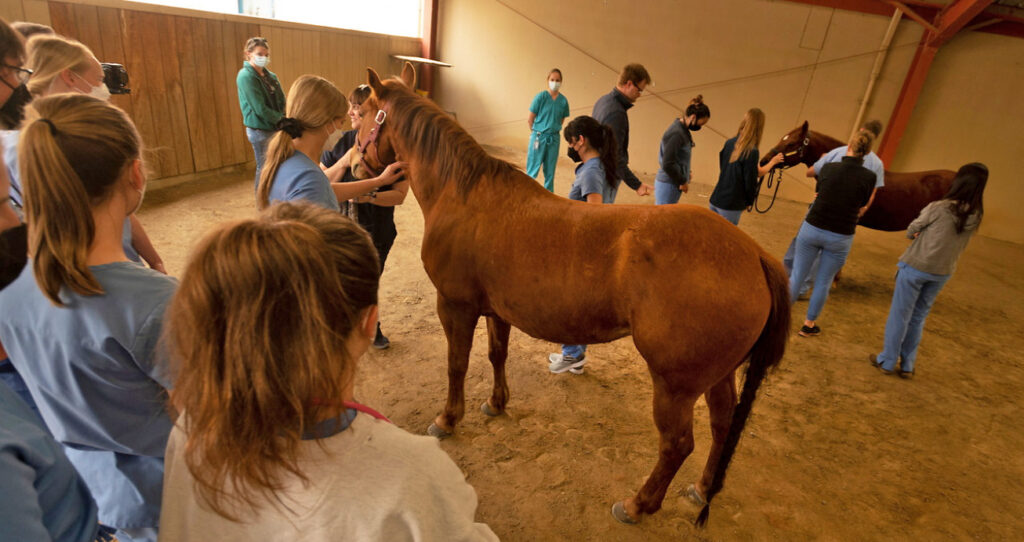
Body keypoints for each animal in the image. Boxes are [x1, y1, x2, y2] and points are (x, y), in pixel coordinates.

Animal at [360, 67, 790, 524]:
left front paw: (447, 419)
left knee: (677, 444)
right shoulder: (497, 311)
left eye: (362, 114)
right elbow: (497, 355)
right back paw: (703, 487)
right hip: (718, 376)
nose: (357, 164)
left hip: (675, 385)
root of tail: (754, 254)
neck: (464, 194)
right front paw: (496, 403)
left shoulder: (455, 306)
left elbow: (456, 365)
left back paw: (637, 505)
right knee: (722, 425)